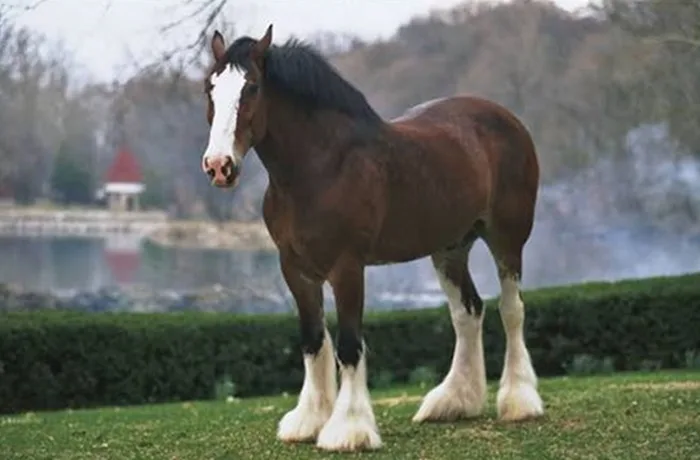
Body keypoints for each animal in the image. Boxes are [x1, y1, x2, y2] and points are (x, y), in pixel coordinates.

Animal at [200, 25, 544, 452]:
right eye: (210, 88)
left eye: (251, 88)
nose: (219, 166)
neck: (320, 168)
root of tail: (506, 118)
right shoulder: (295, 268)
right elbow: (313, 340)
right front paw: (309, 420)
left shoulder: (347, 267)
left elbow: (349, 345)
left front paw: (348, 429)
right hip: (449, 248)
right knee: (468, 312)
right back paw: (453, 401)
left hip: (507, 238)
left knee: (511, 309)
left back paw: (519, 401)